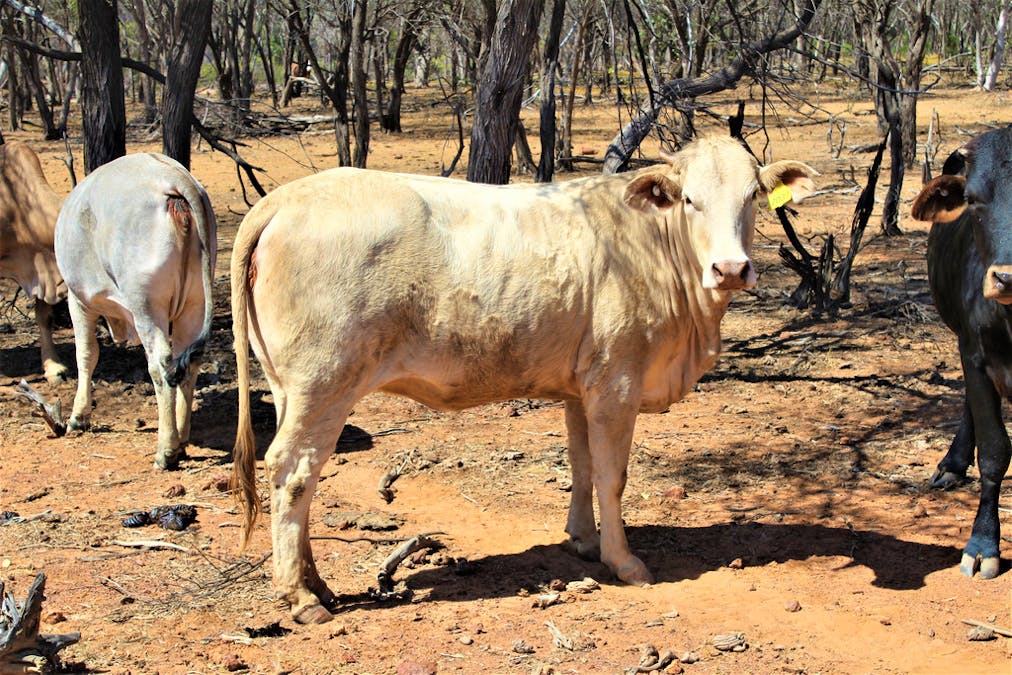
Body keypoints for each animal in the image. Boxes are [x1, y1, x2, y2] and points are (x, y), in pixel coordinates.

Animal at [54, 152, 215, 469]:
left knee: (161, 364)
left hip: (146, 305)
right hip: (195, 304)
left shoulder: (77, 299)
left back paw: (167, 450)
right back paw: (181, 436)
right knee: (188, 360)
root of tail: (174, 180)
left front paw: (78, 417)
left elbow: (86, 354)